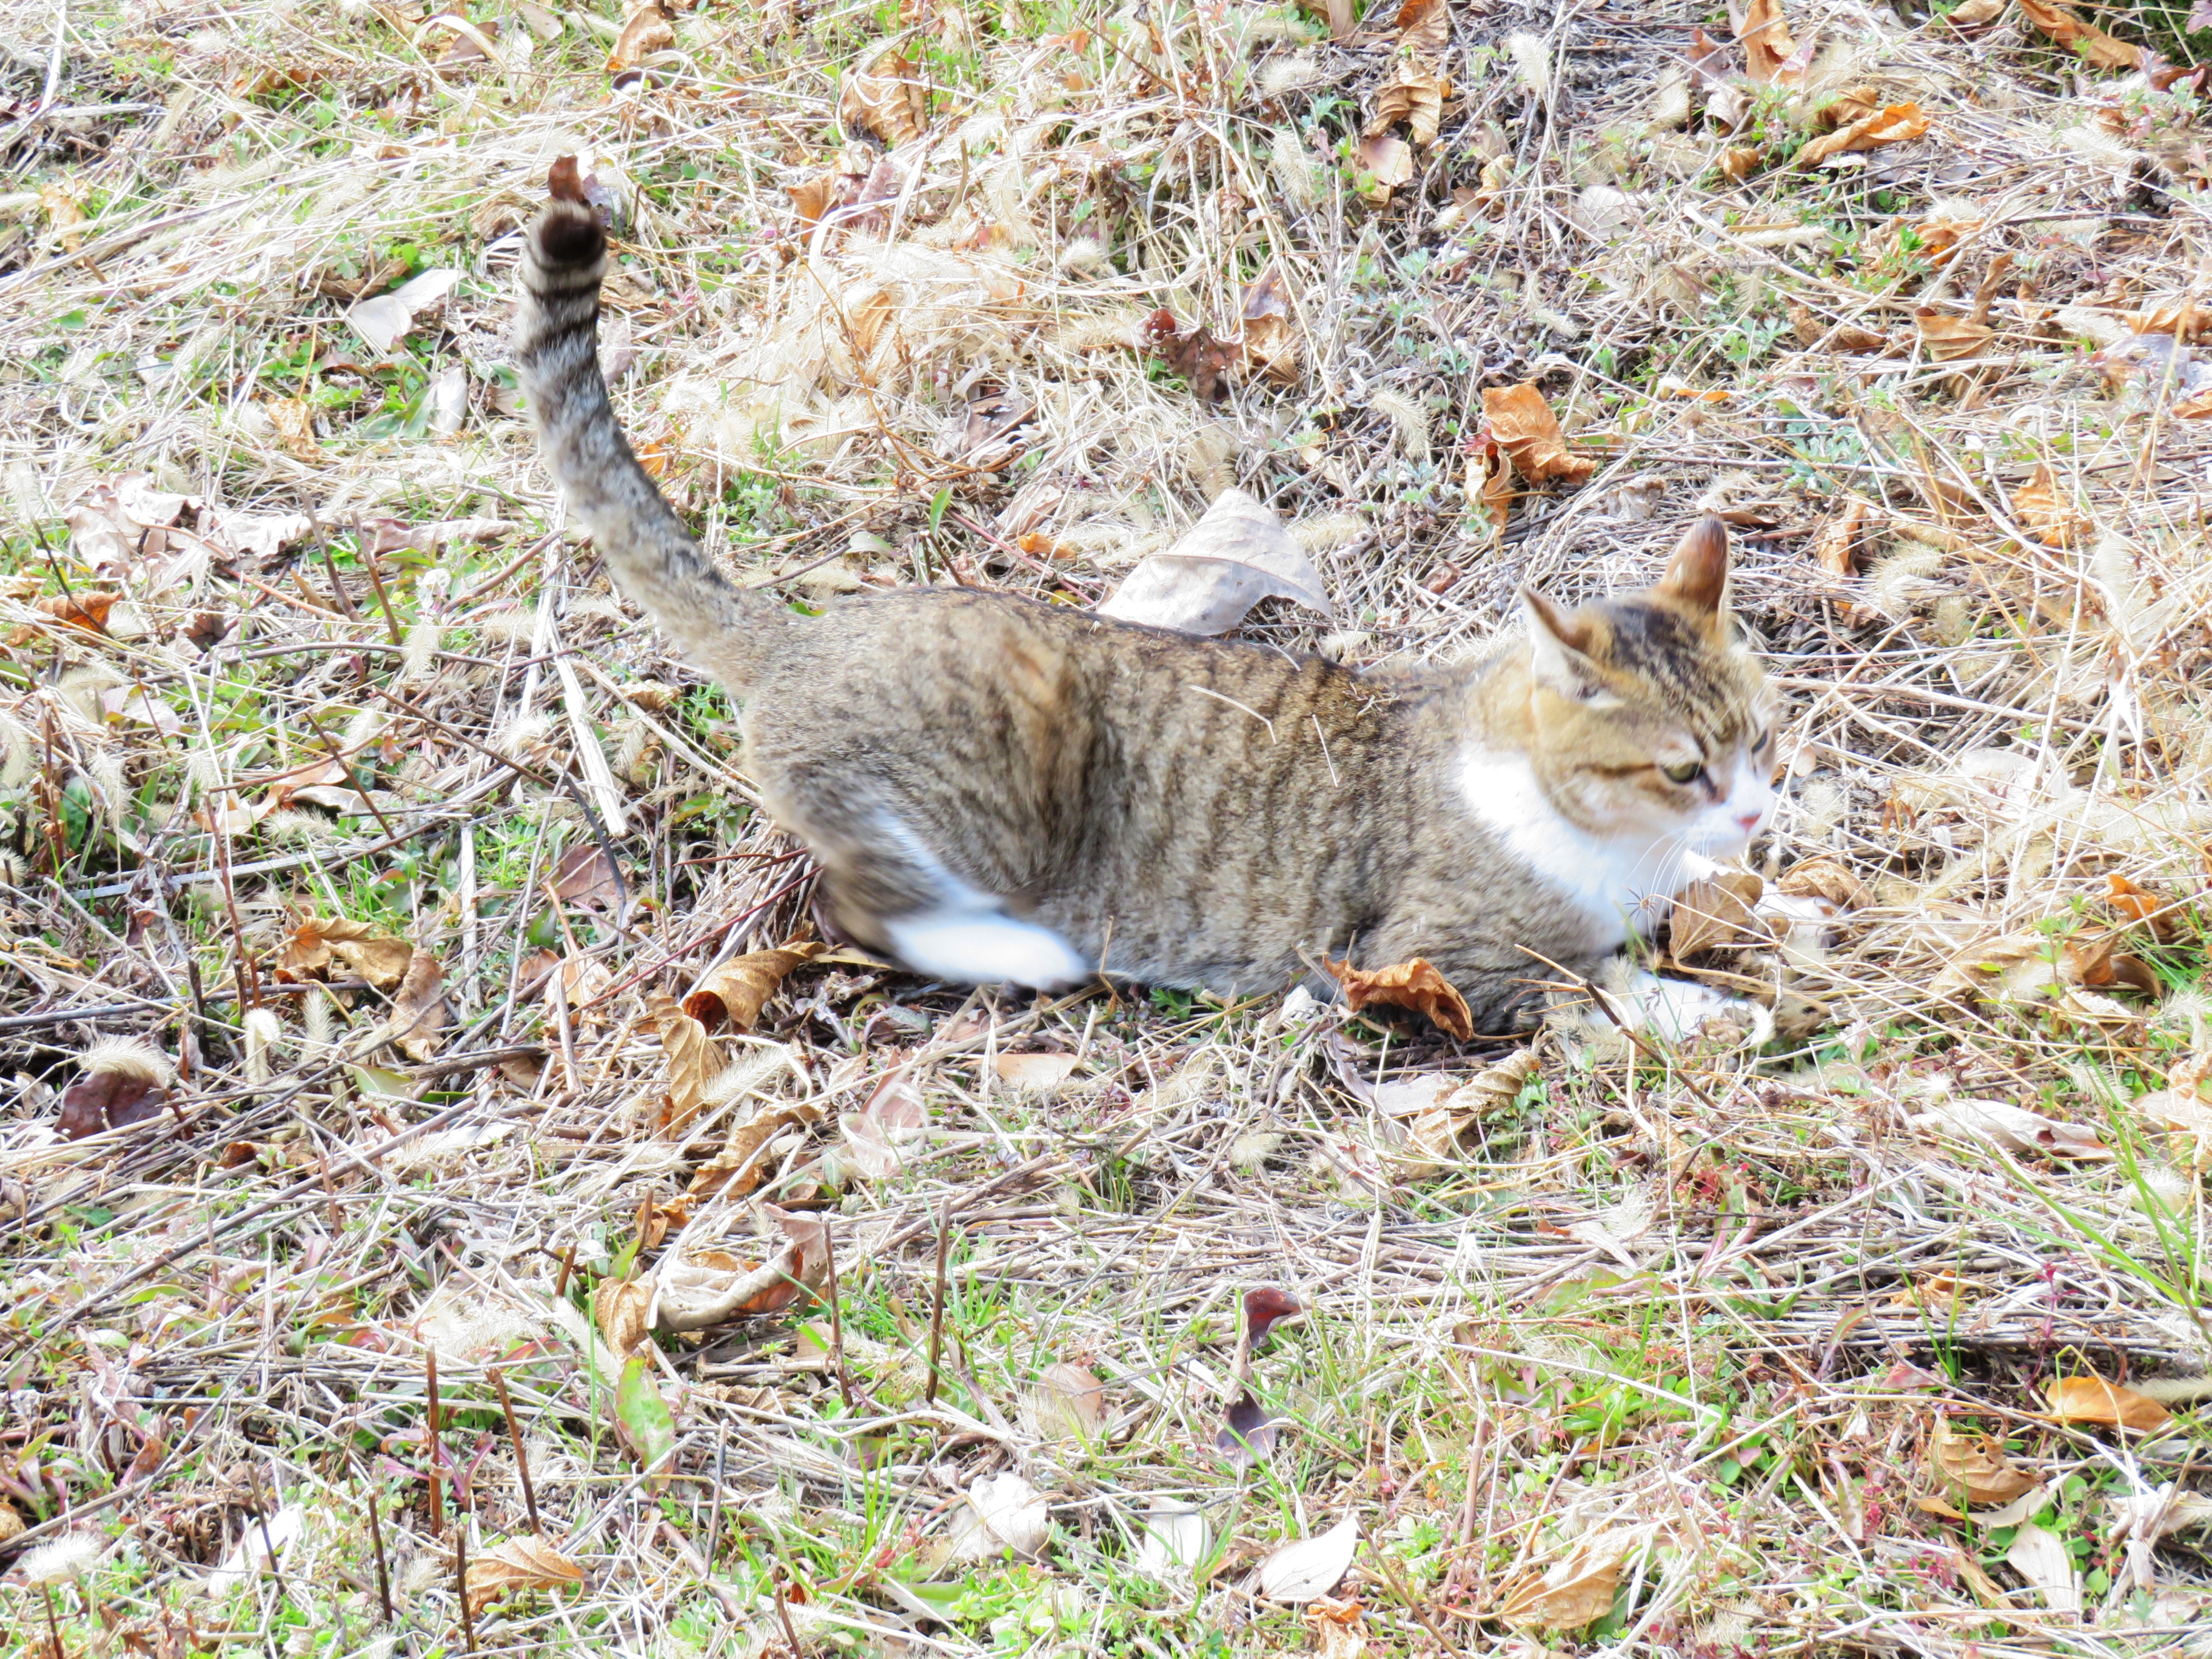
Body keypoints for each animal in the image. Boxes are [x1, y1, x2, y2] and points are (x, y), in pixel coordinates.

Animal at [509, 181, 1769, 1039]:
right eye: (1679, 767)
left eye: (1760, 741)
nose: (1755, 812)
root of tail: (799, 642)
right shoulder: (1436, 956)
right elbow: (1589, 983)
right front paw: (1703, 1012)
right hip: (1001, 772)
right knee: (856, 904)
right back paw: (1019, 950)